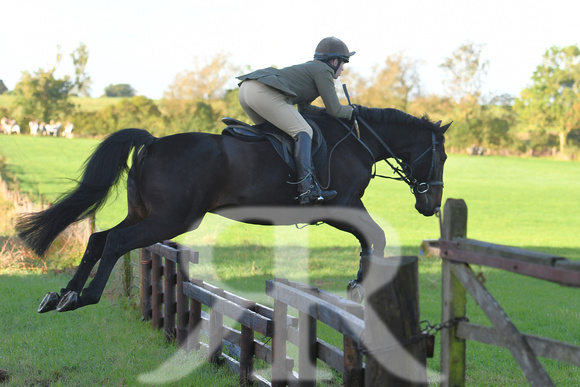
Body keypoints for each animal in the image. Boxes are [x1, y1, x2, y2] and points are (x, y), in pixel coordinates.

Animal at [15, 105, 450, 312]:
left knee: (98, 239)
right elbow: (375, 235)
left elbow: (372, 237)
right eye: (442, 157)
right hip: (171, 219)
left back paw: (62, 295)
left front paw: (360, 284)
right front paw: (361, 285)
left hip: (144, 214)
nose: (431, 206)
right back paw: (82, 297)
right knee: (117, 242)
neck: (359, 141)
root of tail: (153, 142)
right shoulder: (340, 206)